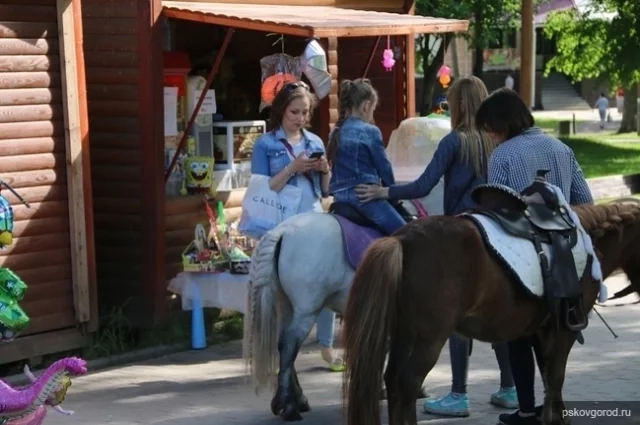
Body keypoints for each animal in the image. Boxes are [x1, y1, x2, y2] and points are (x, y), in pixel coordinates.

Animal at [244, 114, 450, 420]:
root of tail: (281, 232)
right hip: (306, 309)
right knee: (288, 345)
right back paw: (288, 405)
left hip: (287, 304)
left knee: (285, 347)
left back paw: (296, 399)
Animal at [342, 201, 640, 424]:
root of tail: (401, 240)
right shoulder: (564, 331)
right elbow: (555, 377)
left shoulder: (543, 331)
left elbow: (547, 377)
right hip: (429, 340)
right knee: (407, 385)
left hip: (404, 335)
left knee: (393, 381)